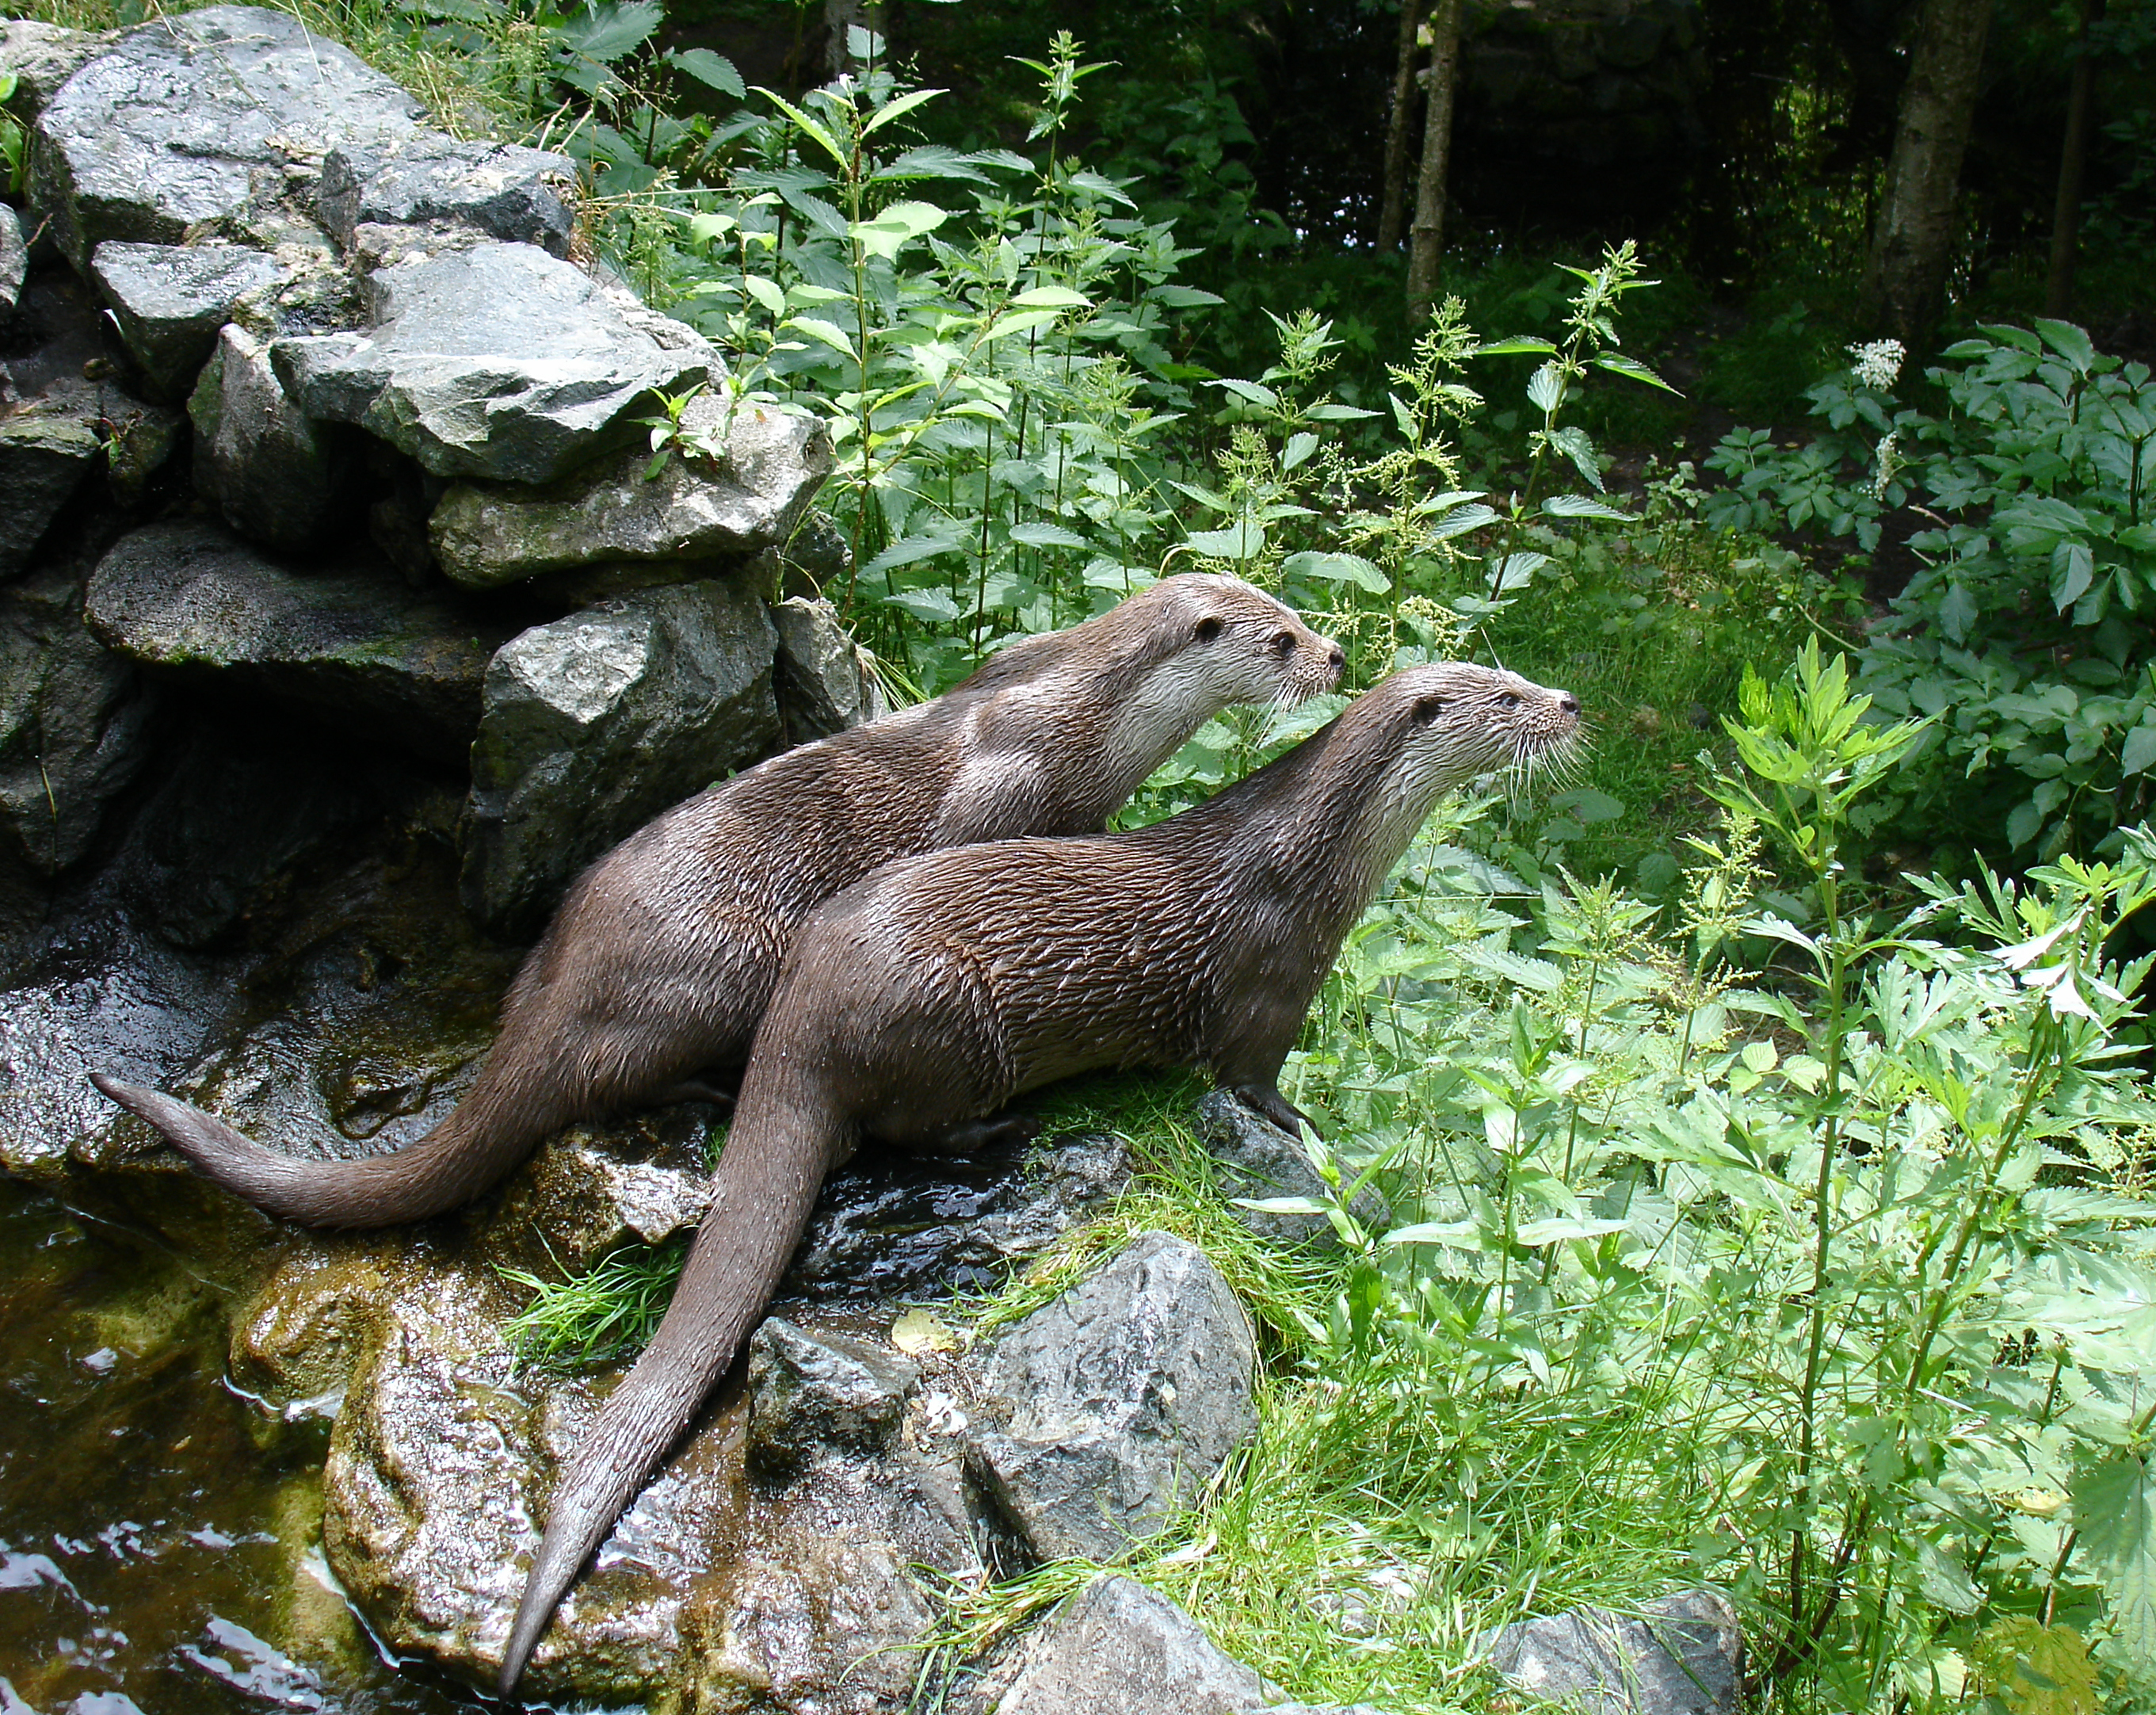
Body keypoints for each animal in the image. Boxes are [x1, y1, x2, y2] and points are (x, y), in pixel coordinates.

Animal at [91, 575, 1343, 1228]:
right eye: (1281, 636)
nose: (1335, 657)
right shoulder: (1012, 784)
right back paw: (697, 1088)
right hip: (727, 964)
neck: (1089, 711)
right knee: (609, 1075)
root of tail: (569, 974)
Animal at [498, 661, 1580, 1690]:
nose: (1567, 702)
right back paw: (1000, 1134)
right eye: (1506, 695)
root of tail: (802, 1010)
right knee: (902, 1128)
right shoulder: (1271, 985)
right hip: (950, 1016)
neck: (1311, 857)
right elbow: (1252, 1079)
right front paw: (1304, 1127)